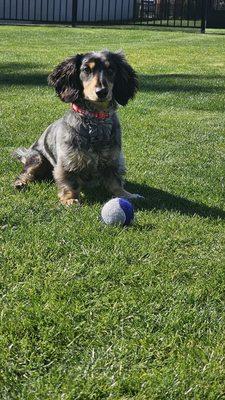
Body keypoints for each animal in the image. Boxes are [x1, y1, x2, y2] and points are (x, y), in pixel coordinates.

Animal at [12, 50, 142, 205]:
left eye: (111, 69)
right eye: (86, 69)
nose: (101, 91)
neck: (95, 121)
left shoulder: (113, 159)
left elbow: (115, 181)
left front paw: (126, 194)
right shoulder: (68, 162)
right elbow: (70, 182)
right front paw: (70, 199)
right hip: (37, 158)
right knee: (26, 173)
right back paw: (20, 183)